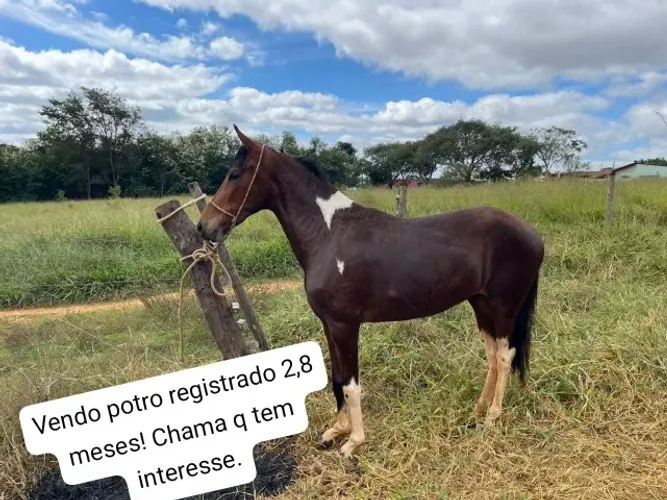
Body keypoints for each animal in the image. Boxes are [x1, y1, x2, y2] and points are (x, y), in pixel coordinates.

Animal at [197, 125, 545, 459]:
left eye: (234, 174)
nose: (204, 226)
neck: (329, 235)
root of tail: (531, 233)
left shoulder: (345, 326)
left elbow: (351, 385)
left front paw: (353, 442)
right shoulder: (329, 325)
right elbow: (337, 378)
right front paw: (335, 431)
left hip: (504, 308)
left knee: (505, 356)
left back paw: (492, 418)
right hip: (480, 305)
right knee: (492, 356)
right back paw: (477, 411)